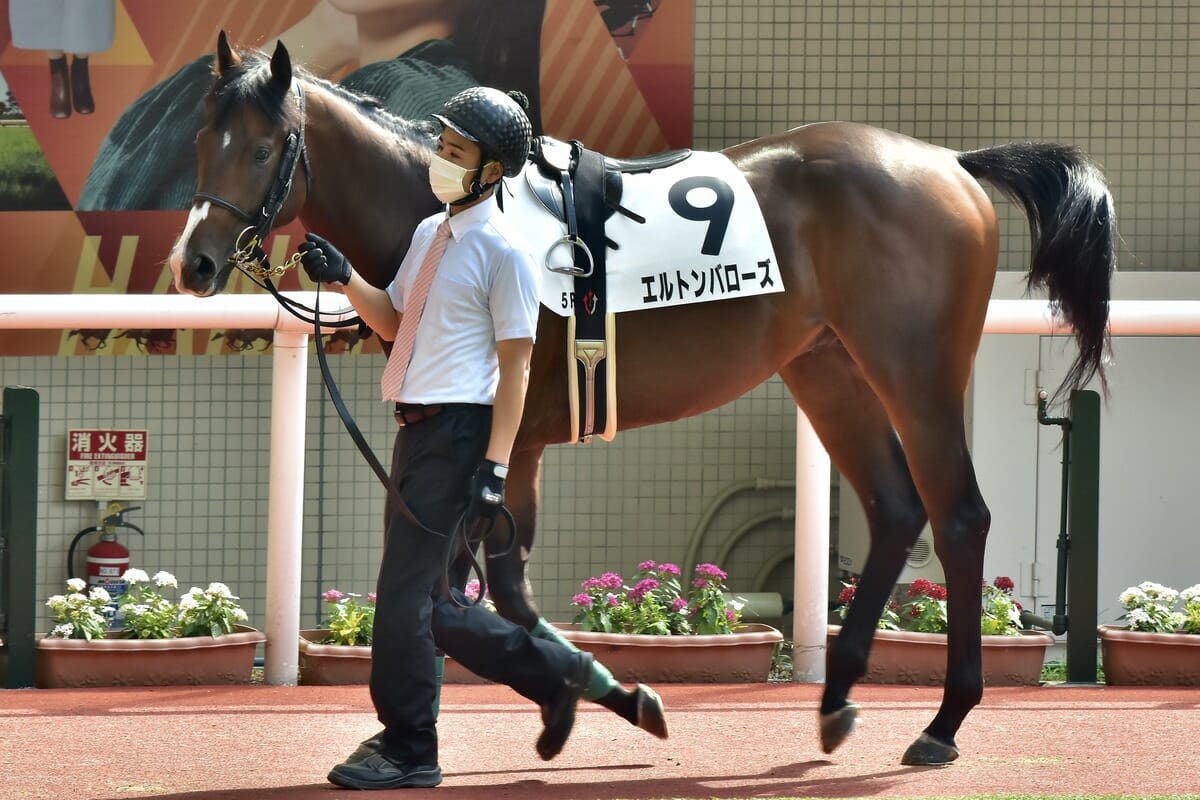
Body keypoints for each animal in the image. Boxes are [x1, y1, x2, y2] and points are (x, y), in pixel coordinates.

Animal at [171, 34, 1113, 767]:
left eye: (265, 147)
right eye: (201, 141)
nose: (196, 264)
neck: (459, 214)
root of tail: (951, 163)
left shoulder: (512, 438)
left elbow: (490, 589)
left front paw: (589, 696)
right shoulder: (522, 447)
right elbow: (505, 591)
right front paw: (593, 694)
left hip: (914, 369)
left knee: (958, 517)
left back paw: (944, 722)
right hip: (828, 368)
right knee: (893, 510)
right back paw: (839, 694)